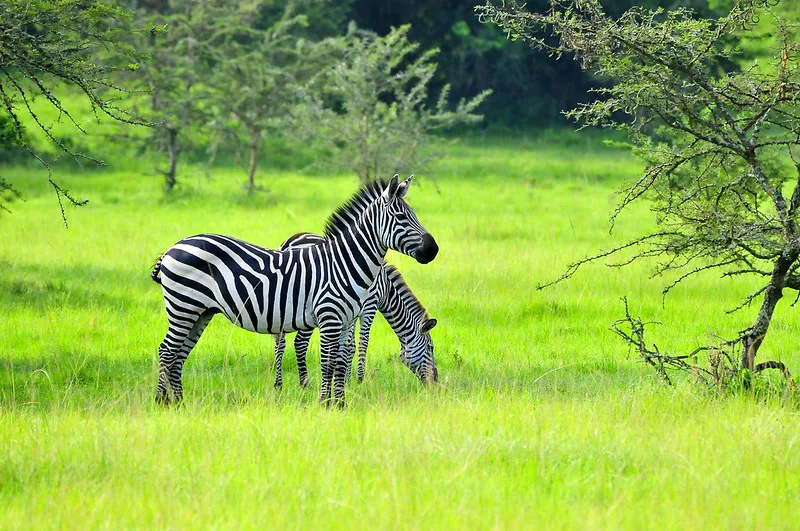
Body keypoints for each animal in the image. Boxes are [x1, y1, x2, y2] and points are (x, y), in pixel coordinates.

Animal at [274, 231, 440, 388]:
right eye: (430, 348)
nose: (435, 381)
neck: (385, 288)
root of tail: (289, 243)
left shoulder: (349, 309)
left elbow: (349, 346)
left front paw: (346, 380)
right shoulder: (369, 306)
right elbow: (361, 343)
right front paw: (359, 380)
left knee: (280, 343)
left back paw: (278, 384)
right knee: (300, 342)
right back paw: (304, 383)